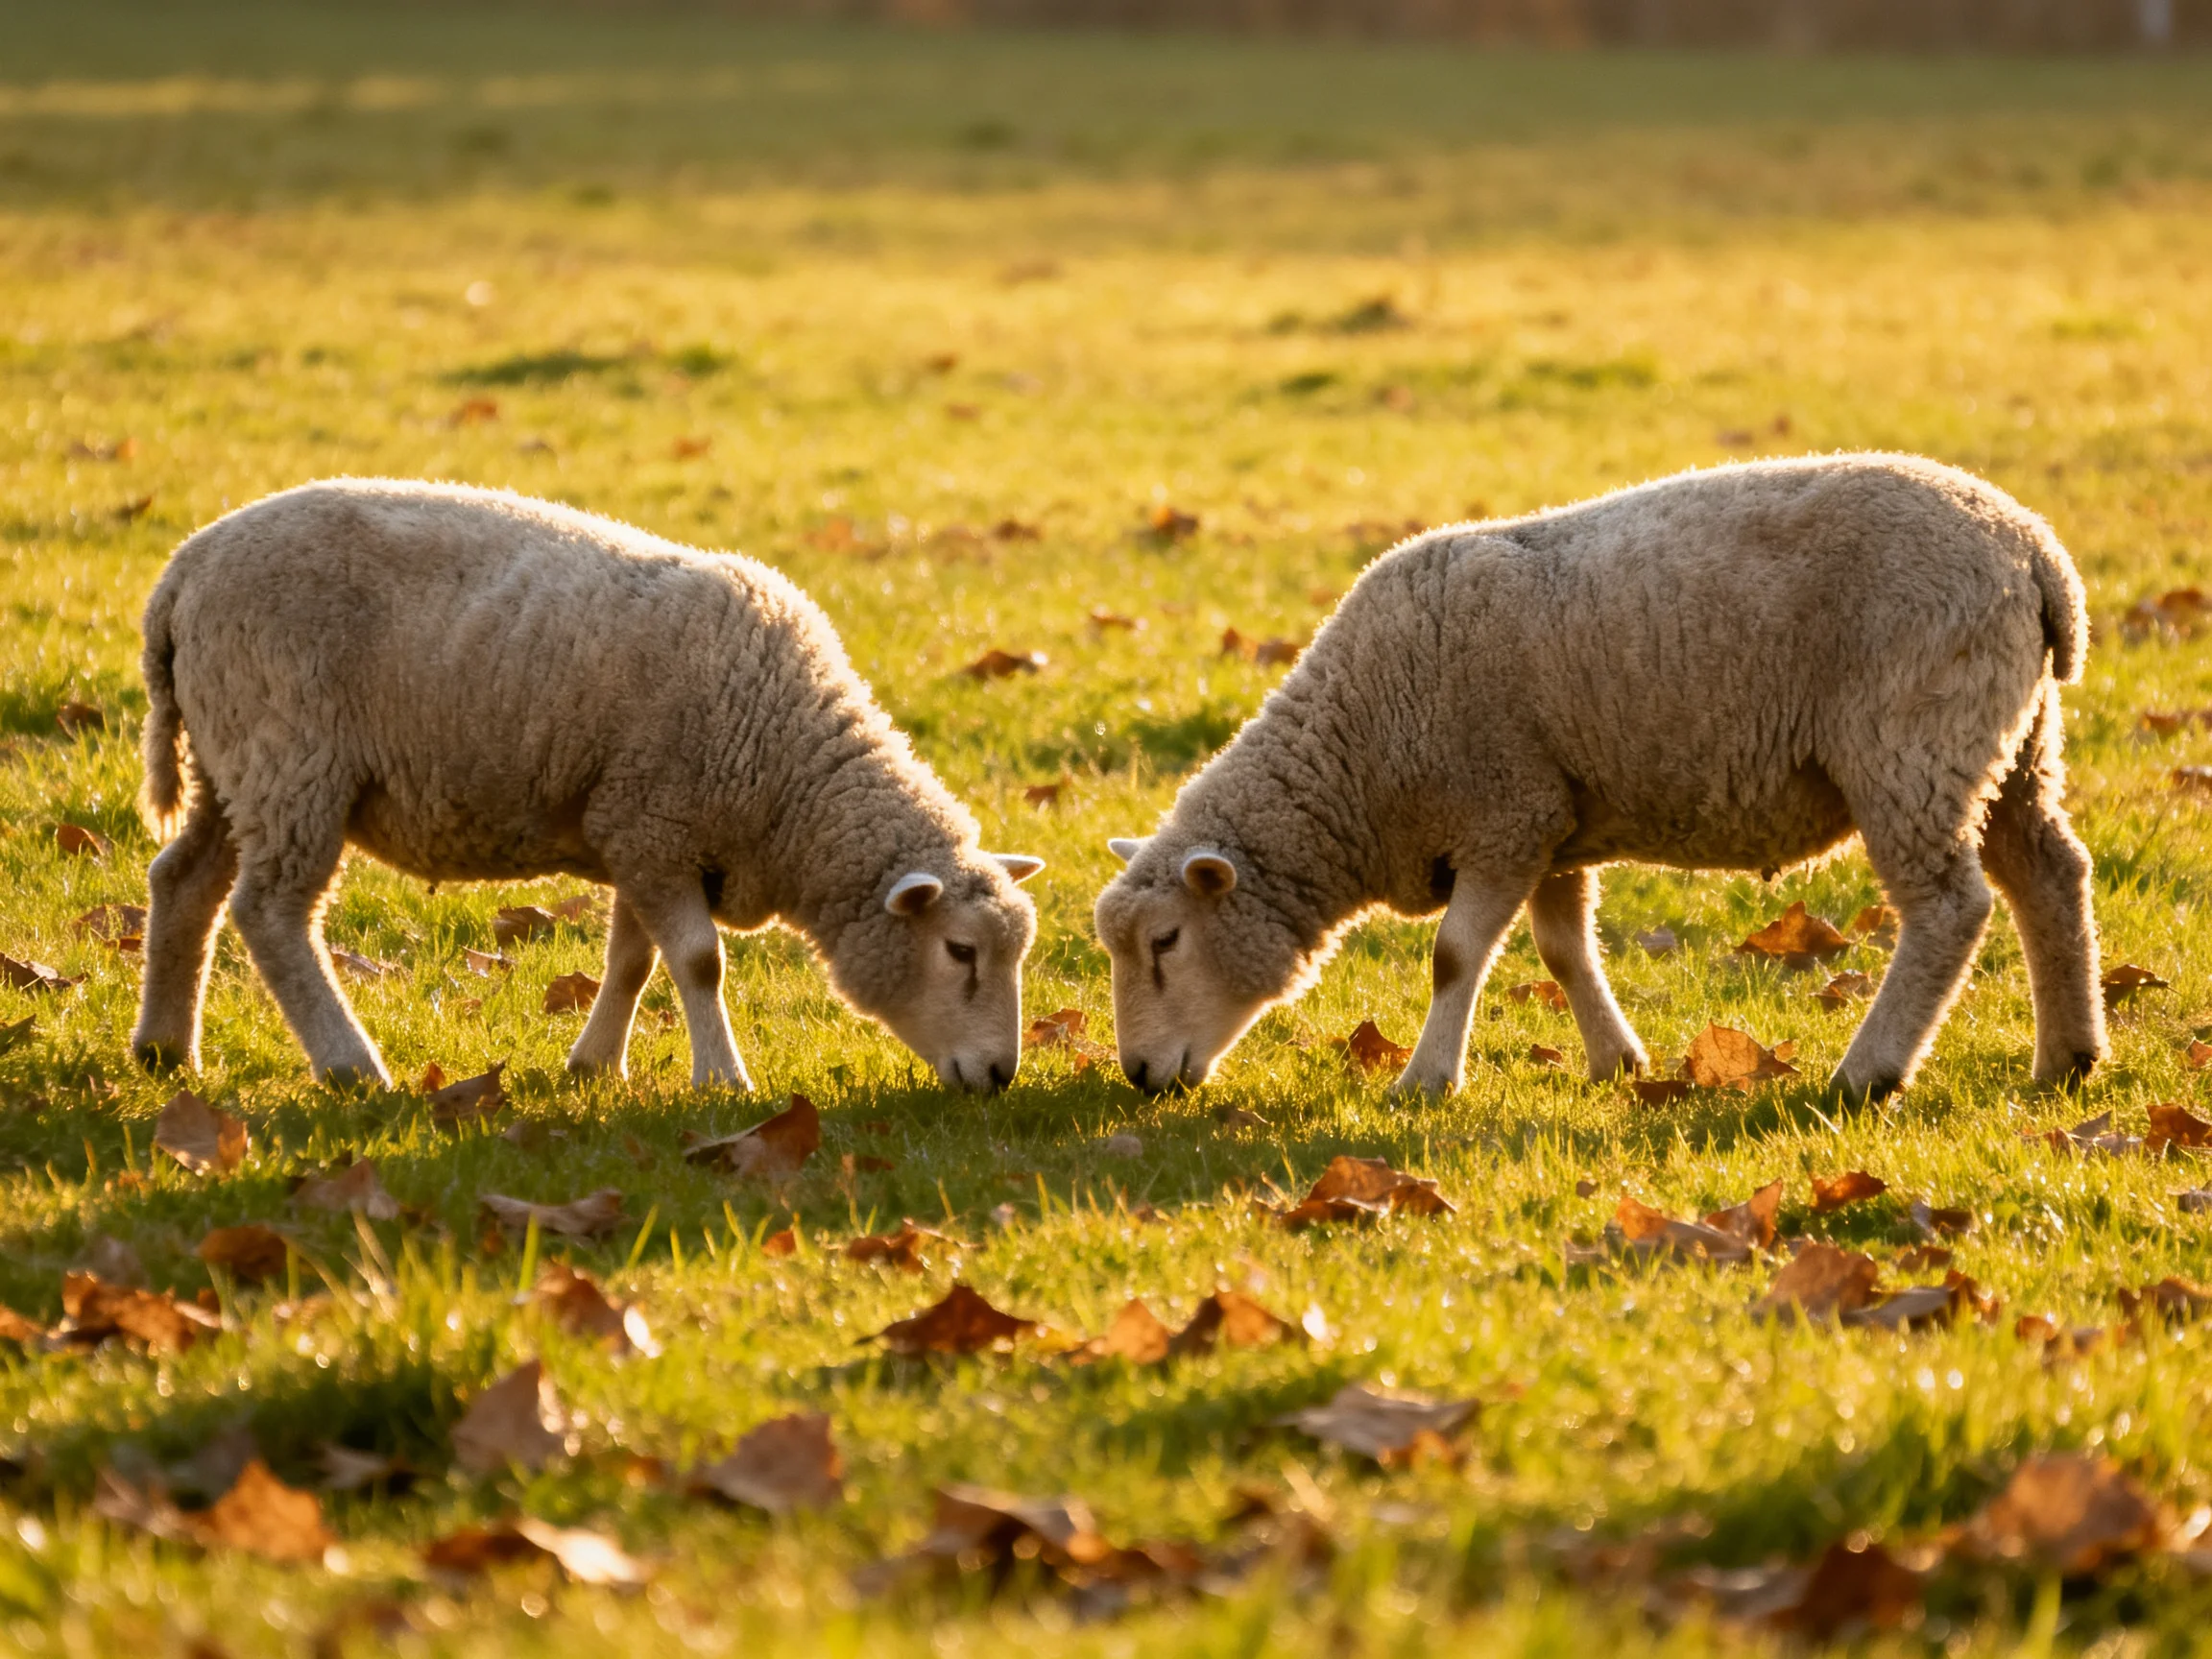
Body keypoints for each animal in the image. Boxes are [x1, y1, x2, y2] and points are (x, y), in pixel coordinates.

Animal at [133, 478, 1044, 1094]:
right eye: (961, 951)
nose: (1000, 1074)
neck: (789, 779)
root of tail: (183, 572)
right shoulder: (655, 824)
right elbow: (700, 961)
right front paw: (723, 1079)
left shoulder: (640, 830)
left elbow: (635, 959)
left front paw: (596, 1064)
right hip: (290, 757)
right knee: (270, 914)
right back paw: (351, 1063)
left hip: (231, 763)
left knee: (183, 882)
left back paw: (164, 1049)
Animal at [1095, 453, 2102, 1101]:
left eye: (1166, 942)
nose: (1140, 1078)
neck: (1361, 755)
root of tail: (2035, 555)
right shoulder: (1552, 821)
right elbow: (1562, 949)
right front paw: (1617, 1061)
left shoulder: (1503, 812)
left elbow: (1454, 955)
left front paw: (1425, 1082)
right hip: (2010, 745)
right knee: (2051, 876)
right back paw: (2069, 1058)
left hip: (1913, 742)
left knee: (1949, 909)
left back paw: (1870, 1072)